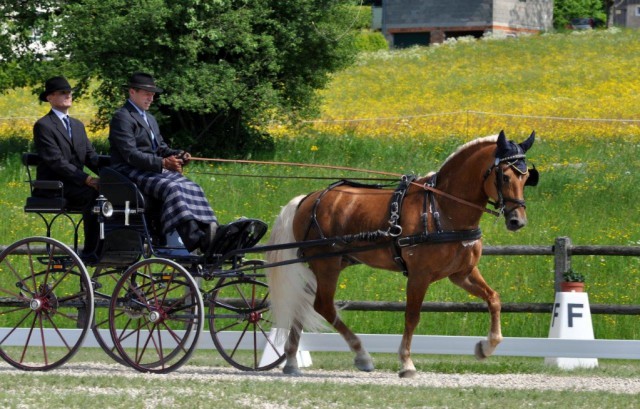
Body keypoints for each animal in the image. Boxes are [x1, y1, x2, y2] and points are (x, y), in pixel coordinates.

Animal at [264, 131, 540, 376]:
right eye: (505, 176)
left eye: (527, 177)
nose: (517, 220)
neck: (442, 208)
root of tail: (308, 198)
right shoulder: (419, 275)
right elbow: (412, 316)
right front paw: (406, 363)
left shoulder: (462, 273)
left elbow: (494, 299)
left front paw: (486, 347)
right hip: (327, 265)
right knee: (323, 306)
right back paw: (361, 355)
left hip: (325, 265)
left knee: (301, 304)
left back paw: (292, 361)